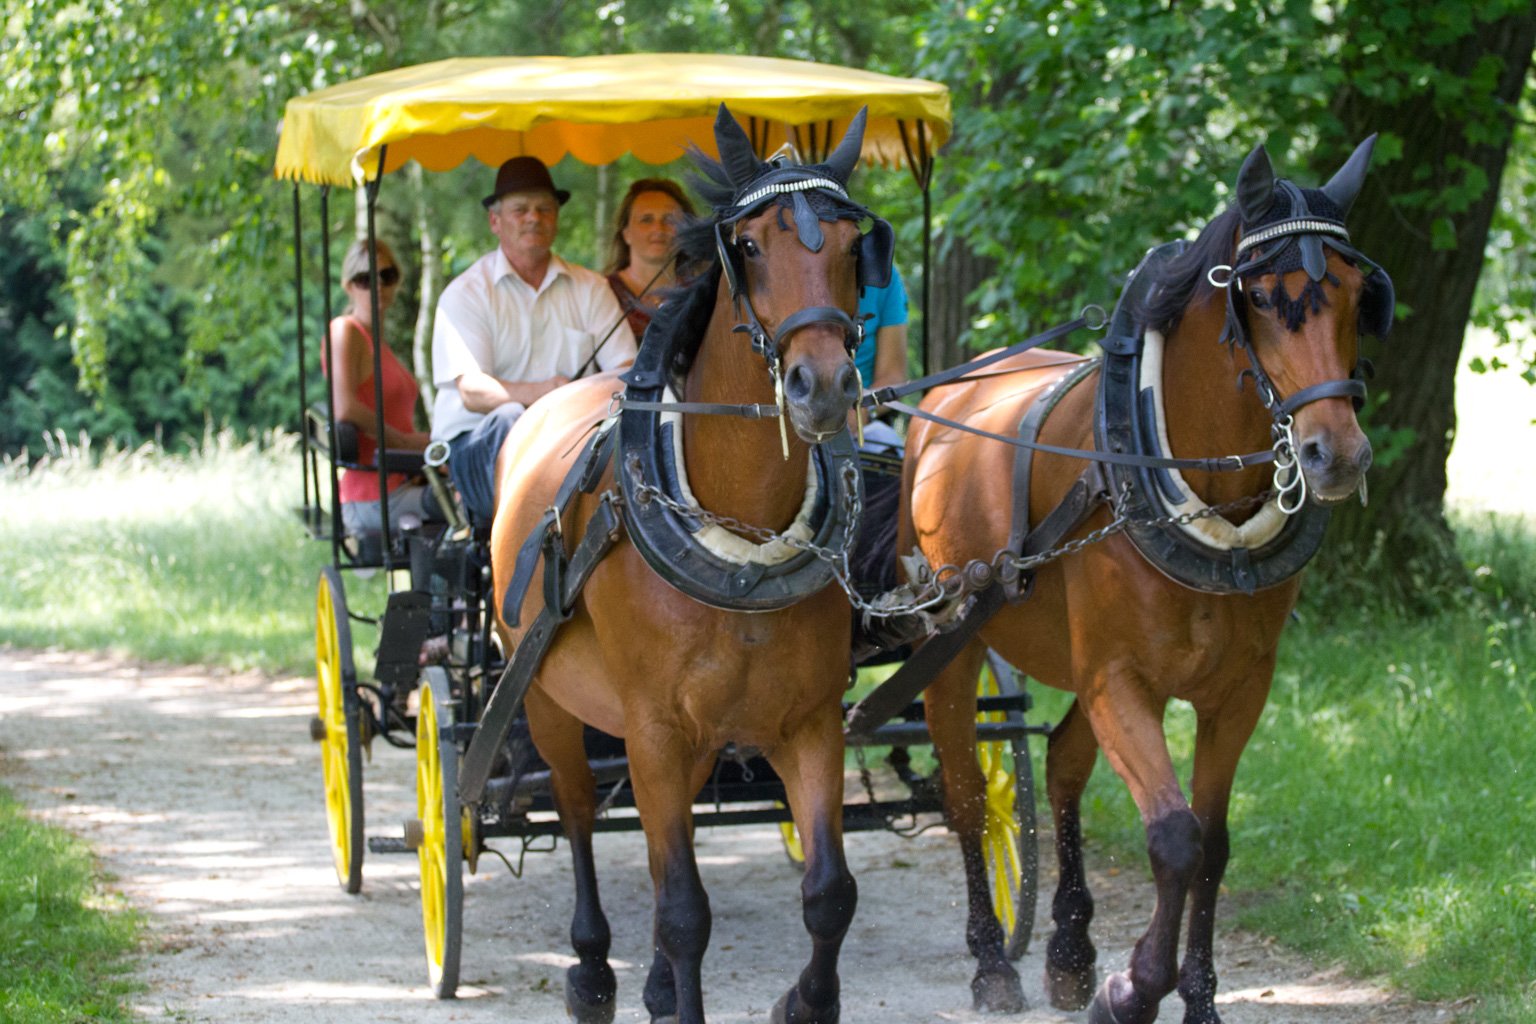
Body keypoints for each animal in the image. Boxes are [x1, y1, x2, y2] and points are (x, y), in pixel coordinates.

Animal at [488, 106, 890, 1024]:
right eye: (747, 245)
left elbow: (830, 894)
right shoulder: (653, 729)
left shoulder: (806, 720)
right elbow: (682, 909)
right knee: (575, 812)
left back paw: (655, 985)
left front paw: (802, 1002)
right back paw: (593, 969)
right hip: (550, 698)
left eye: (855, 245)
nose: (823, 386)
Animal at [899, 137, 1392, 1021]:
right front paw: (1134, 988)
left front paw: (1193, 995)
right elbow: (1174, 838)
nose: (1336, 455)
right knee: (964, 792)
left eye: (1357, 292)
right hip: (949, 641)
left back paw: (1067, 947)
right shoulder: (1118, 676)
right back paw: (992, 961)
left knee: (1063, 766)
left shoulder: (1240, 687)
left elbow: (1214, 841)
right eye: (1260, 296)